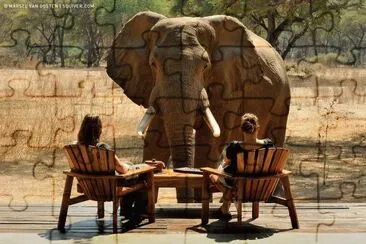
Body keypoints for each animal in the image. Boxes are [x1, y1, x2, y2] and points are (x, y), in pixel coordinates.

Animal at [105, 11, 288, 201]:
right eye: (153, 64)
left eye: (205, 65)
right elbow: (156, 138)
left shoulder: (227, 82)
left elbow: (209, 140)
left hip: (282, 97)